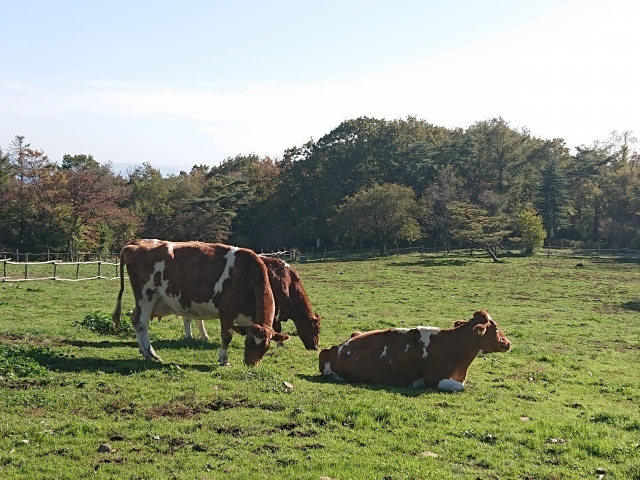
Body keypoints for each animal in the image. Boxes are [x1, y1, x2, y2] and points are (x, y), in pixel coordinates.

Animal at [111, 238, 288, 366]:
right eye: (249, 342)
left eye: (266, 347)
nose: (250, 364)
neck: (247, 275)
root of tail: (135, 243)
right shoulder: (226, 311)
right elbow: (227, 336)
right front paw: (224, 360)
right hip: (146, 295)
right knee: (141, 323)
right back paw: (151, 354)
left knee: (135, 320)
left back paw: (143, 351)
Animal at [180, 256, 320, 350]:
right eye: (317, 329)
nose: (315, 347)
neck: (288, 283)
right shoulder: (276, 312)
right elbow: (278, 328)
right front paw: (280, 344)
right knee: (188, 319)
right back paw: (190, 336)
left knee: (195, 319)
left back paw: (202, 336)